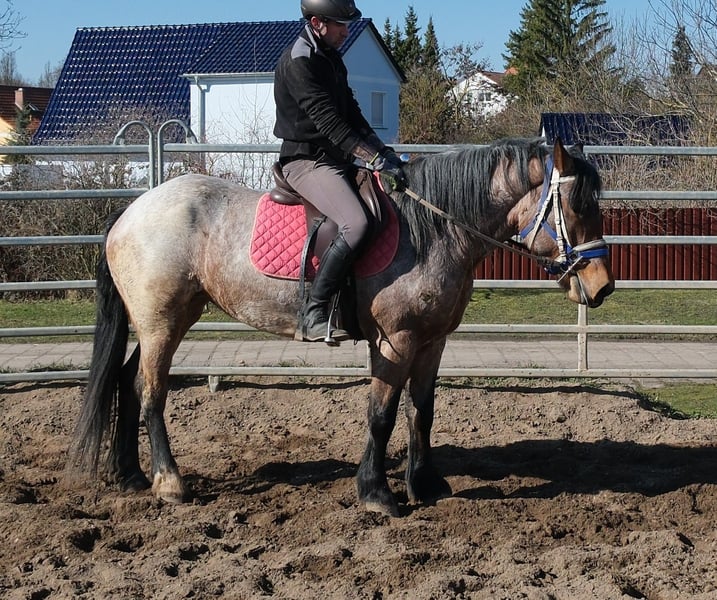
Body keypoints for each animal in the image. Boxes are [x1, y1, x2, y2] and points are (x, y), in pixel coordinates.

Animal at [70, 137, 615, 517]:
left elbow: (422, 412)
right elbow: (382, 415)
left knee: (126, 380)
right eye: (576, 207)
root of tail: (131, 210)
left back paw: (130, 476)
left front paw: (426, 485)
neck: (435, 229)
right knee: (151, 392)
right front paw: (377, 493)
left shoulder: (433, 341)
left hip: (161, 321)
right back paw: (169, 483)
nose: (603, 286)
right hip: (162, 322)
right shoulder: (395, 343)